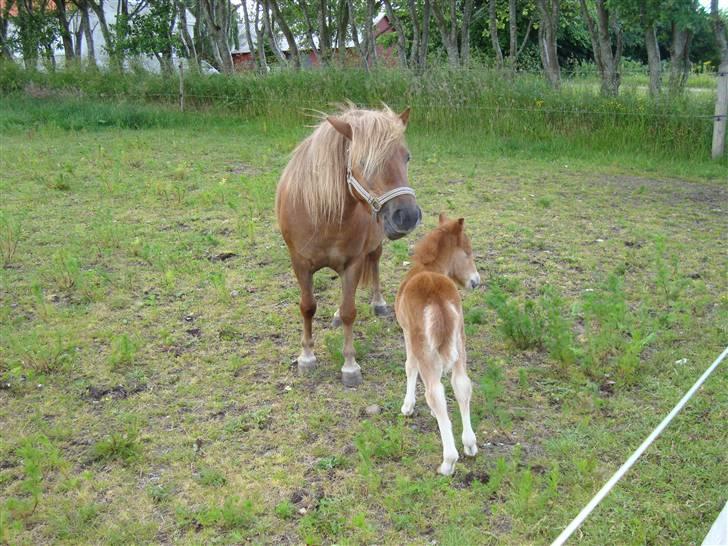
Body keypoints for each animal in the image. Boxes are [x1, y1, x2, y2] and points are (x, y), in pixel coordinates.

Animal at [274, 105, 420, 386]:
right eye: (363, 162)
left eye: (407, 158)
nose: (407, 216)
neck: (324, 215)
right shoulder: (300, 264)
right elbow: (308, 307)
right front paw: (306, 357)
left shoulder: (353, 264)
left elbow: (349, 311)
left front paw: (350, 366)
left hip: (375, 245)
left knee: (375, 264)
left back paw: (378, 303)